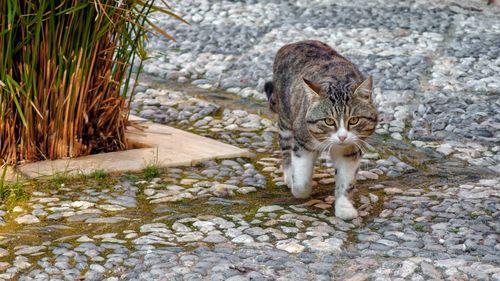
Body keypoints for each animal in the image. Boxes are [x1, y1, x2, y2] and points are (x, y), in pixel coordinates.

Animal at [264, 40, 376, 219]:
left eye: (354, 120)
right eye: (329, 121)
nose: (342, 136)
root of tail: (294, 43)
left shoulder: (350, 149)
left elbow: (346, 180)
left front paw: (344, 207)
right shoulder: (302, 141)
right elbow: (301, 181)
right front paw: (298, 187)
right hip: (286, 119)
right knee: (286, 148)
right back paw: (289, 174)